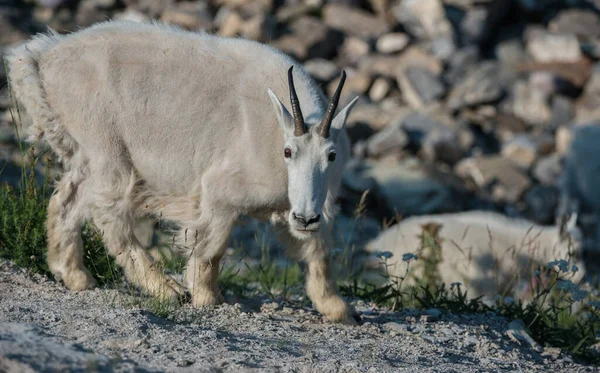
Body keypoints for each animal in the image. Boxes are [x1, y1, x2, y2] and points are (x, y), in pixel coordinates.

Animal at [5, 20, 360, 322]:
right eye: (288, 152)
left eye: (331, 155)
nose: (304, 218)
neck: (275, 129)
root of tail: (43, 57)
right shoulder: (220, 192)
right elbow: (212, 248)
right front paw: (207, 297)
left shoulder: (315, 203)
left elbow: (319, 252)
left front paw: (340, 309)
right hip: (105, 144)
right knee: (108, 213)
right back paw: (166, 289)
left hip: (86, 152)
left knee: (67, 200)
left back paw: (73, 274)